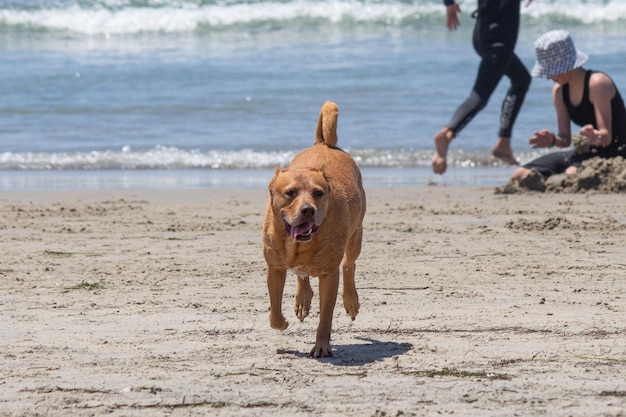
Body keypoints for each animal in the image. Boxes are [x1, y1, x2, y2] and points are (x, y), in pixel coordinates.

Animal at [260, 101, 366, 358]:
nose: (308, 210)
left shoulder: (329, 275)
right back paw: (303, 298)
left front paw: (321, 345)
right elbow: (274, 310)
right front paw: (282, 322)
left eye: (318, 193)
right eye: (290, 193)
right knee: (303, 275)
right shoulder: (274, 267)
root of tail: (325, 144)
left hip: (356, 234)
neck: (298, 244)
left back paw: (350, 300)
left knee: (349, 264)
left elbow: (326, 316)